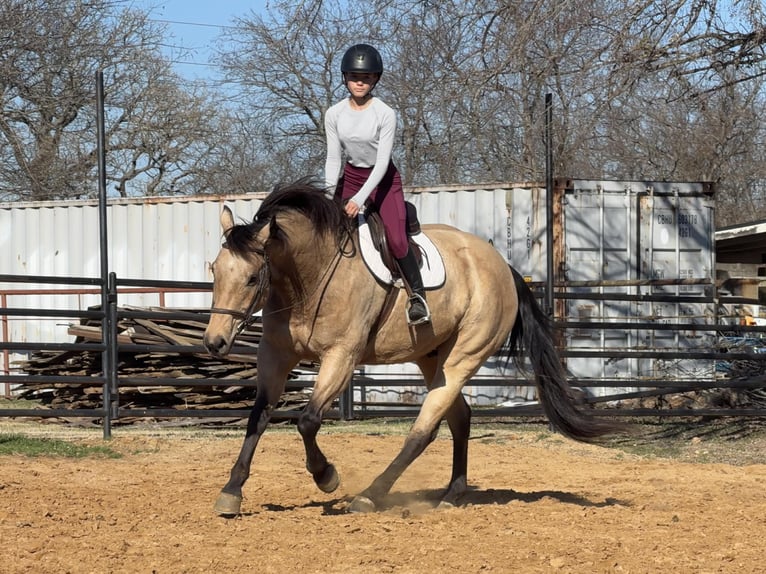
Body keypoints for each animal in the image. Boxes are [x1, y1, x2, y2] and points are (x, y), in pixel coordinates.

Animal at [203, 179, 622, 515]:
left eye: (253, 277)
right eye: (214, 270)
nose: (214, 342)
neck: (312, 276)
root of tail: (503, 267)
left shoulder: (341, 357)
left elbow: (307, 421)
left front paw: (327, 477)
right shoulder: (275, 355)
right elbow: (258, 417)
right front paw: (231, 492)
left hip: (462, 358)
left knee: (424, 429)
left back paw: (371, 496)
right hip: (431, 356)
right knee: (459, 419)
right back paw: (452, 495)